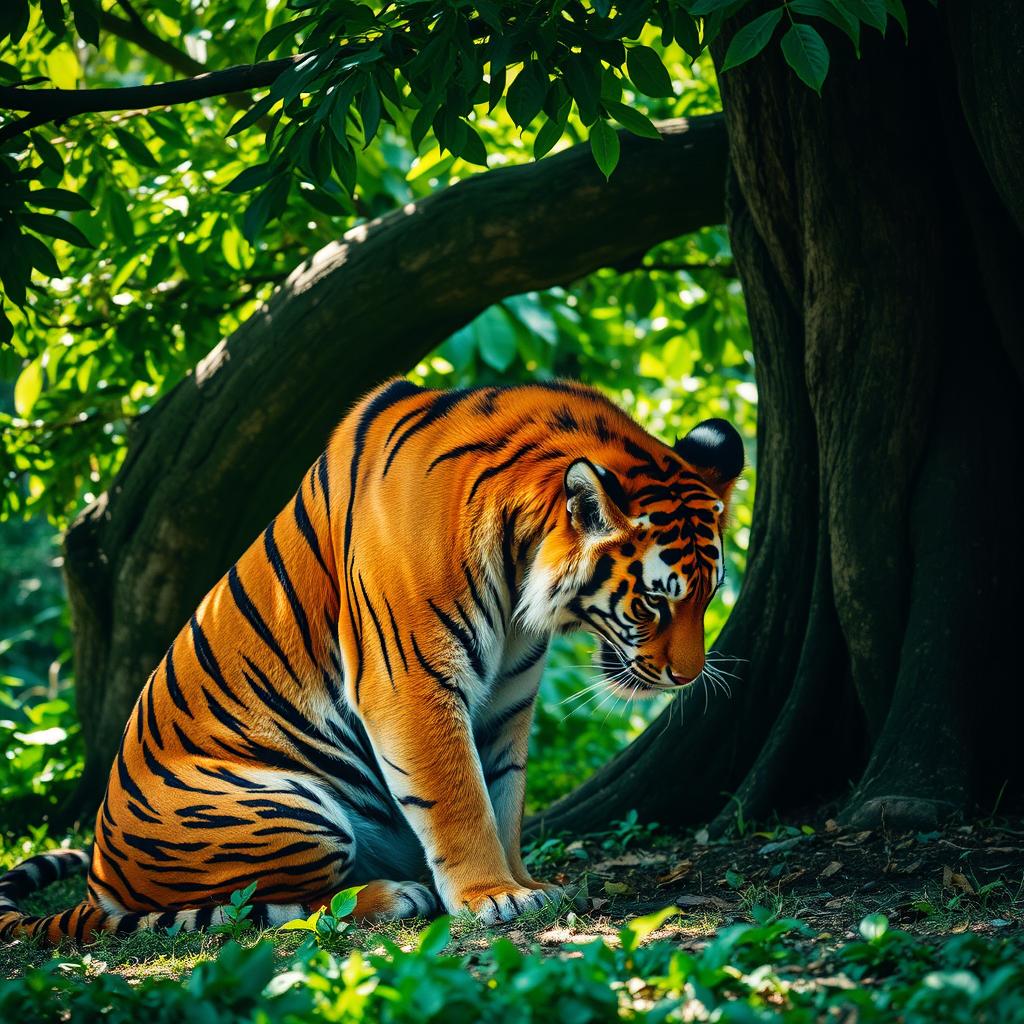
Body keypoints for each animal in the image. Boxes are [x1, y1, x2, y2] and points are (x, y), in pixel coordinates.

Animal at [0, 379, 743, 944]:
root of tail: (99, 880)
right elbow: (459, 798)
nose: (687, 678)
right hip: (288, 809)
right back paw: (401, 896)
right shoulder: (410, 679)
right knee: (262, 908)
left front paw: (526, 883)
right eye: (654, 601)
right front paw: (491, 896)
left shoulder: (507, 697)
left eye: (707, 596)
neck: (518, 572)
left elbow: (505, 793)